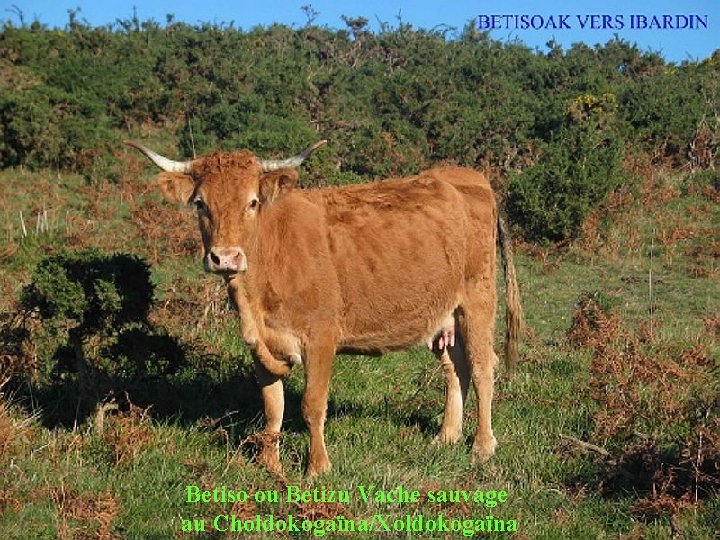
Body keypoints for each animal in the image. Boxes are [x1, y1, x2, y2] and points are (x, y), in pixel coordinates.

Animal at [125, 140, 523, 477]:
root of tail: (467, 176)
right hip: (444, 312)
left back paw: (481, 446)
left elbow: (312, 404)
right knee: (455, 367)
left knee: (483, 367)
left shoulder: (320, 339)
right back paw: (446, 436)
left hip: (478, 299)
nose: (225, 257)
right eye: (200, 203)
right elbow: (272, 405)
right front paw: (270, 465)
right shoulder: (262, 344)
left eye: (252, 202)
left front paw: (317, 467)